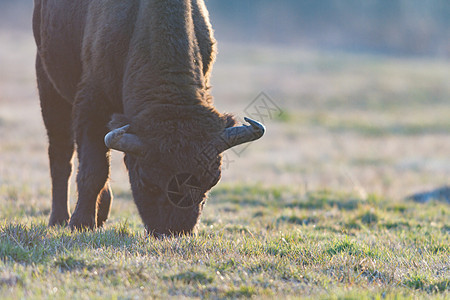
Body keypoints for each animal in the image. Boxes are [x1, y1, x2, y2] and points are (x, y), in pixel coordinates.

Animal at [33, 0, 266, 237]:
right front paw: (80, 224)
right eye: (147, 181)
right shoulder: (91, 106)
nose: (174, 231)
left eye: (213, 179)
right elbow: (93, 170)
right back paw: (59, 219)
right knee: (61, 155)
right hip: (48, 85)